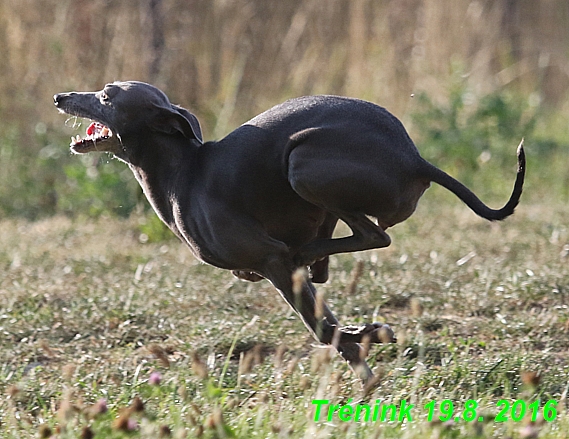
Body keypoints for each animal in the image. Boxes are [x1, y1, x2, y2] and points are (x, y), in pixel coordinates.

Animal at [53, 82, 524, 384]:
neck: (184, 173)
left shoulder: (272, 261)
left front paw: (364, 359)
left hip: (302, 160)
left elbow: (322, 328)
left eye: (107, 95)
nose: (60, 96)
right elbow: (325, 307)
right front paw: (365, 337)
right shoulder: (288, 266)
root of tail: (414, 158)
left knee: (372, 236)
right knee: (341, 247)